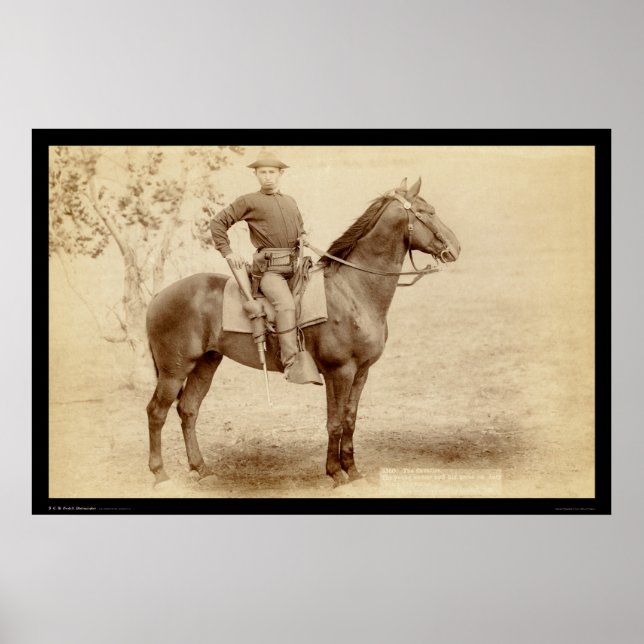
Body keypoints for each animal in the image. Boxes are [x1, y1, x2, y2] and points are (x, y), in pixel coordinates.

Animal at [146, 177, 460, 487]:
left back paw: (201, 469)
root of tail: (159, 296)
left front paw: (353, 470)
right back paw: (160, 473)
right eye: (428, 212)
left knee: (188, 410)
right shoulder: (339, 372)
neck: (352, 291)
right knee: (156, 412)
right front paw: (336, 473)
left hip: (205, 364)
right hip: (174, 371)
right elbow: (334, 422)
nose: (456, 248)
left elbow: (350, 419)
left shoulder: (361, 372)